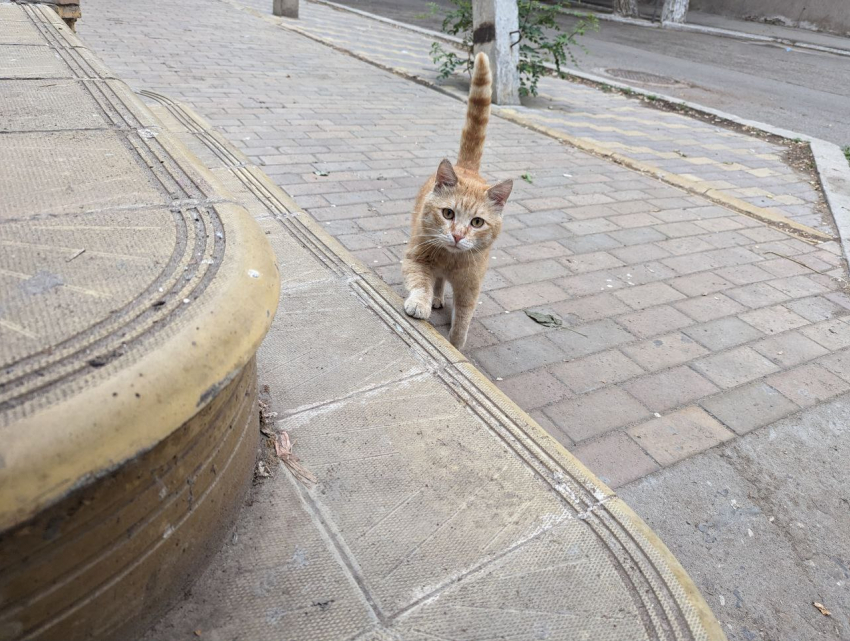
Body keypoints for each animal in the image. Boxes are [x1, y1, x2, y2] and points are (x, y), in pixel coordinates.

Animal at [402, 52, 512, 348]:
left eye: (477, 222)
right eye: (448, 214)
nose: (458, 235)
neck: (450, 260)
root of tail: (466, 167)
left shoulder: (470, 287)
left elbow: (463, 319)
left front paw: (455, 344)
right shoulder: (415, 258)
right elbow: (421, 283)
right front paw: (421, 303)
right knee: (437, 282)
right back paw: (437, 297)